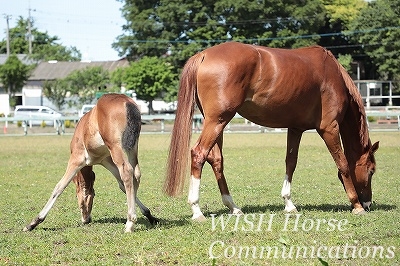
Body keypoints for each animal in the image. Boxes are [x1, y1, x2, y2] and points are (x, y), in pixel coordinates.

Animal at [23, 94, 158, 233]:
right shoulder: (105, 160)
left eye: (77, 196)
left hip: (116, 147)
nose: (86, 219)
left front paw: (34, 222)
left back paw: (130, 222)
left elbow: (60, 186)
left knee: (127, 171)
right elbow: (121, 185)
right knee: (136, 174)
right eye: (93, 196)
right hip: (132, 146)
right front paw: (149, 214)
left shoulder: (76, 159)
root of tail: (127, 102)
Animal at [164, 42, 380, 220]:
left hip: (217, 122)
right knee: (199, 154)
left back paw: (233, 207)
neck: (333, 74)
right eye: (371, 170)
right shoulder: (329, 128)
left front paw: (289, 204)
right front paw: (356, 205)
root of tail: (204, 55)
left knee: (216, 159)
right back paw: (197, 210)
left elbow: (290, 163)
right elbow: (342, 164)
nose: (368, 203)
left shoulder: (296, 128)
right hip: (217, 120)